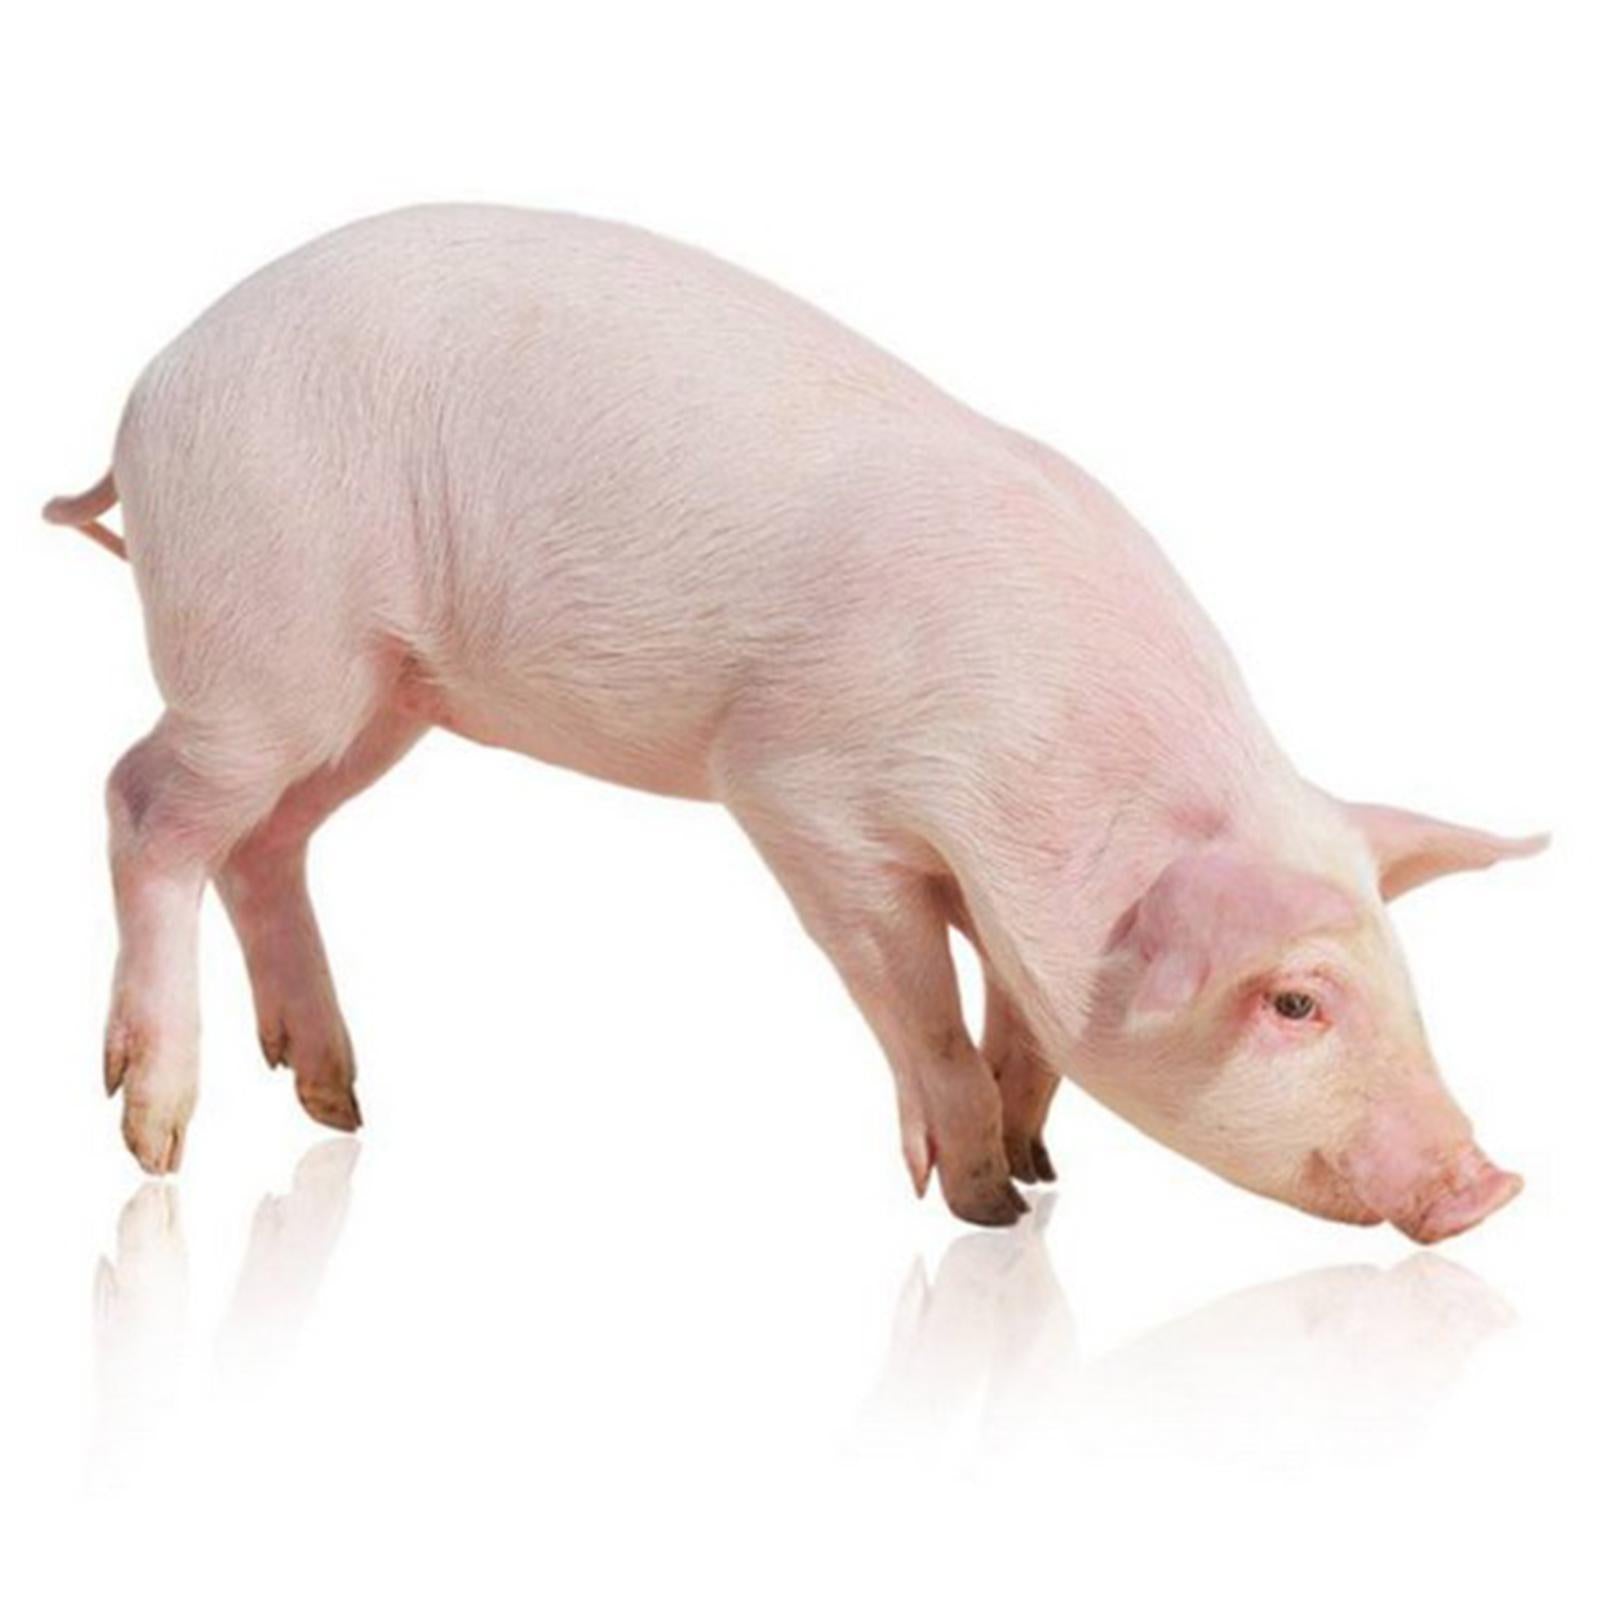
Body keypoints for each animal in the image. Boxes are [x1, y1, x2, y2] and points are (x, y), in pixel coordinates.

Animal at [45, 204, 1544, 1237]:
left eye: (1404, 976)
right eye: (1294, 999)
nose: (1492, 1184)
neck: (1053, 777)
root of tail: (154, 383)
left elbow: (1019, 1019)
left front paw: (1040, 1161)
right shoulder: (799, 790)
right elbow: (913, 997)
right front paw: (987, 1203)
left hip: (372, 693)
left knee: (265, 840)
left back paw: (338, 1100)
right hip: (264, 639)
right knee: (143, 801)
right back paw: (157, 1134)